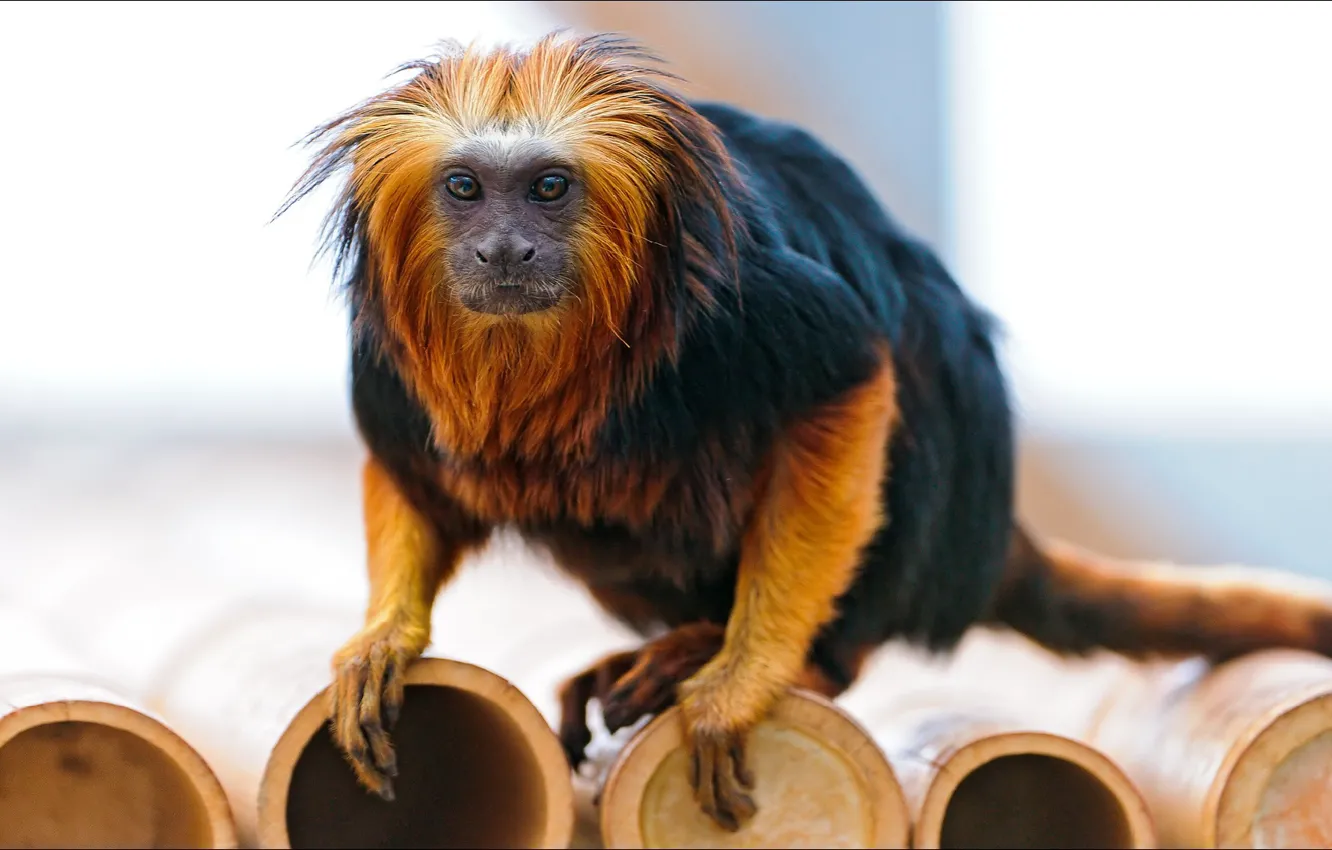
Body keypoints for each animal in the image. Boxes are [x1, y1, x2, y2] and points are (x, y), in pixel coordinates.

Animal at [277, 32, 1332, 832]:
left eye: (546, 189)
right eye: (464, 189)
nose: (506, 249)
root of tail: (986, 546)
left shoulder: (739, 304)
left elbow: (851, 378)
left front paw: (743, 680)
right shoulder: (384, 359)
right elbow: (414, 476)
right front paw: (385, 638)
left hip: (923, 533)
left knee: (906, 365)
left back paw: (774, 657)